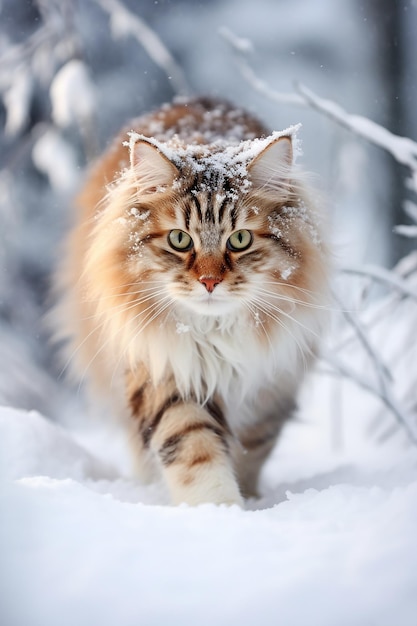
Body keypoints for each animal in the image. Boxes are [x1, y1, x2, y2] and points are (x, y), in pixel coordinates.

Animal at [55, 98, 328, 508]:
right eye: (180, 240)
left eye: (240, 239)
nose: (209, 281)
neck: (219, 337)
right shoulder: (166, 370)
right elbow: (194, 449)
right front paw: (218, 509)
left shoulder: (271, 388)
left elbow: (251, 450)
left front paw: (248, 503)